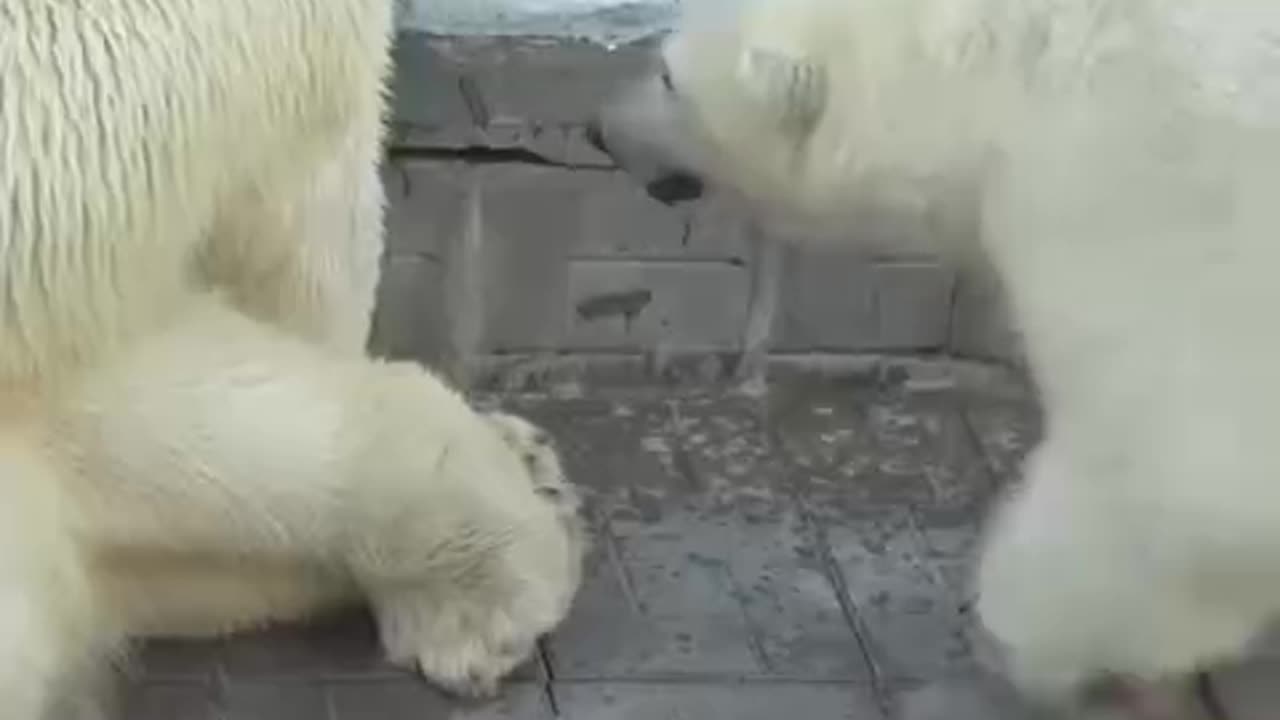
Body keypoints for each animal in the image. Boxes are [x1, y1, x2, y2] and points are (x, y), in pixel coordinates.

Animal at [591, 0, 1280, 707]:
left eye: (669, 77)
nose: (598, 132)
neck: (1008, 65)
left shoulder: (1143, 195)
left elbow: (1188, 475)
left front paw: (1019, 630)